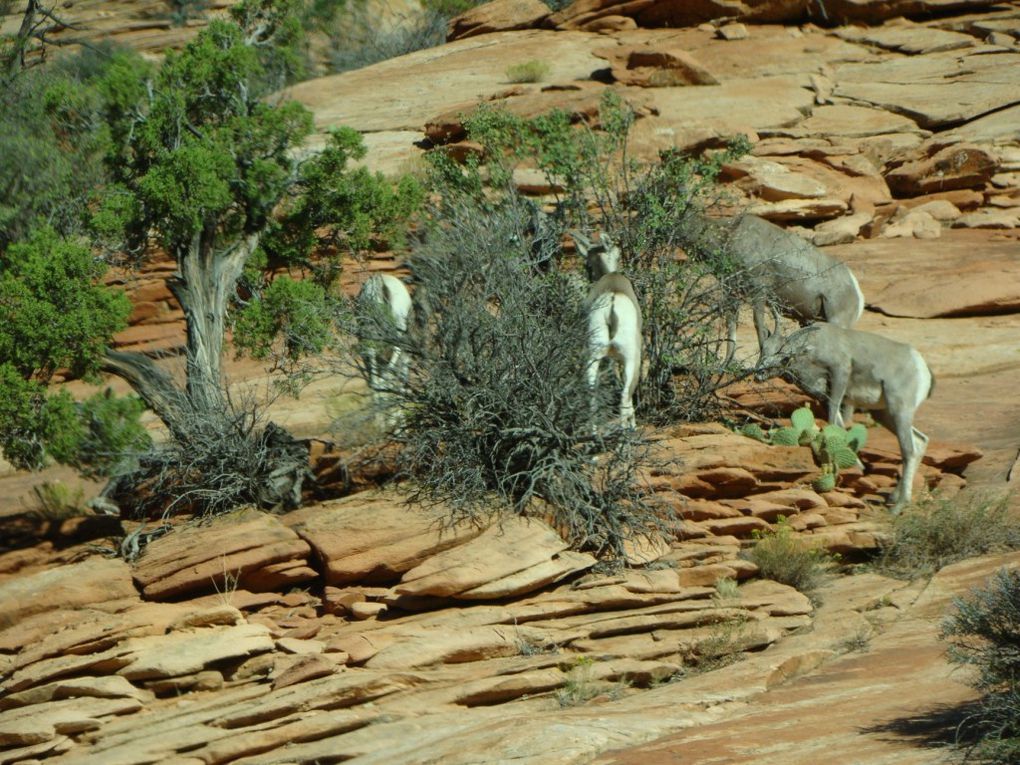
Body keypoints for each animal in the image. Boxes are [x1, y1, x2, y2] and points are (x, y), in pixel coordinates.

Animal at [758, 314, 934, 512]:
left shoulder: (839, 374)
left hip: (899, 411)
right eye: (763, 349)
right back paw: (893, 497)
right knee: (920, 441)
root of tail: (920, 365)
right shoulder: (825, 396)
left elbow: (832, 421)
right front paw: (858, 467)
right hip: (885, 414)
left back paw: (897, 507)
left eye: (785, 358)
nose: (759, 373)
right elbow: (839, 426)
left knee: (909, 450)